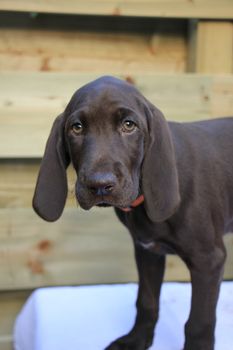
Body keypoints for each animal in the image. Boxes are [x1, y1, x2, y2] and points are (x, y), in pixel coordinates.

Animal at [32, 76, 233, 350]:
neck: (142, 198)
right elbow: (146, 302)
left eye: (129, 125)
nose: (100, 185)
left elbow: (199, 323)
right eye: (77, 127)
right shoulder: (147, 250)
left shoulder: (208, 261)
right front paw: (137, 340)